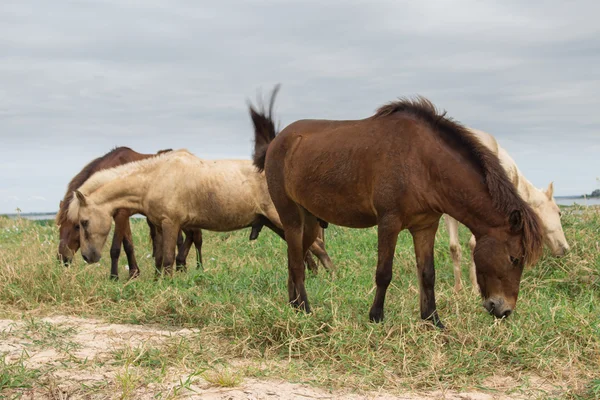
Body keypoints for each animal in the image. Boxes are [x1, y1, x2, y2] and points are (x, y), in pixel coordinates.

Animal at [56, 145, 203, 280]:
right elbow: (128, 245)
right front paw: (133, 273)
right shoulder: (123, 216)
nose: (62, 258)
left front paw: (114, 276)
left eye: (78, 226)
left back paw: (198, 267)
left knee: (196, 237)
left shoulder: (121, 214)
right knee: (190, 236)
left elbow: (115, 248)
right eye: (60, 227)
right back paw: (181, 265)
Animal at [68, 150, 336, 276]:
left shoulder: (170, 223)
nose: (88, 257)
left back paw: (331, 276)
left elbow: (167, 259)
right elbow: (159, 259)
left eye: (83, 222)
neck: (156, 177)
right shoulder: (162, 226)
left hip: (279, 220)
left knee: (319, 248)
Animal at [248, 86, 544, 326]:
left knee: (294, 258)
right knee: (296, 263)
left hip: (309, 222)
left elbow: (427, 274)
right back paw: (306, 310)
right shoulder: (388, 222)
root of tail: (277, 142)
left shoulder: (426, 226)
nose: (504, 310)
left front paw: (433, 320)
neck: (423, 163)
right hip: (291, 217)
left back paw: (294, 306)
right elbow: (384, 273)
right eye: (515, 258)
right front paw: (376, 317)